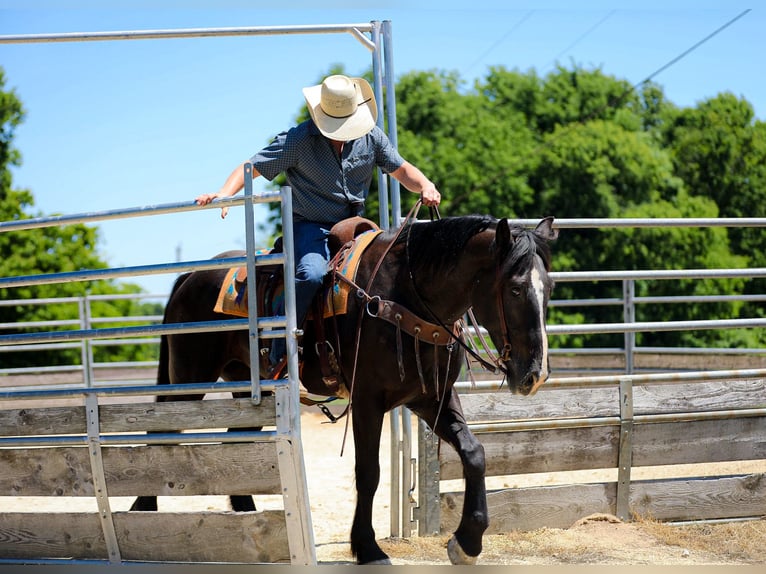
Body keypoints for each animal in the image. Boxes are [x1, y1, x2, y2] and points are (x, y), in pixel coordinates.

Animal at [130, 214, 557, 565]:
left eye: (550, 288)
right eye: (515, 289)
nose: (534, 374)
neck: (404, 296)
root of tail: (190, 277)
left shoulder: (431, 398)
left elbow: (475, 453)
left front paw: (467, 541)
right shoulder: (368, 401)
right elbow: (368, 472)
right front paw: (367, 547)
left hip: (253, 390)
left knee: (238, 438)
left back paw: (247, 516)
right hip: (189, 379)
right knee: (161, 436)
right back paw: (141, 511)